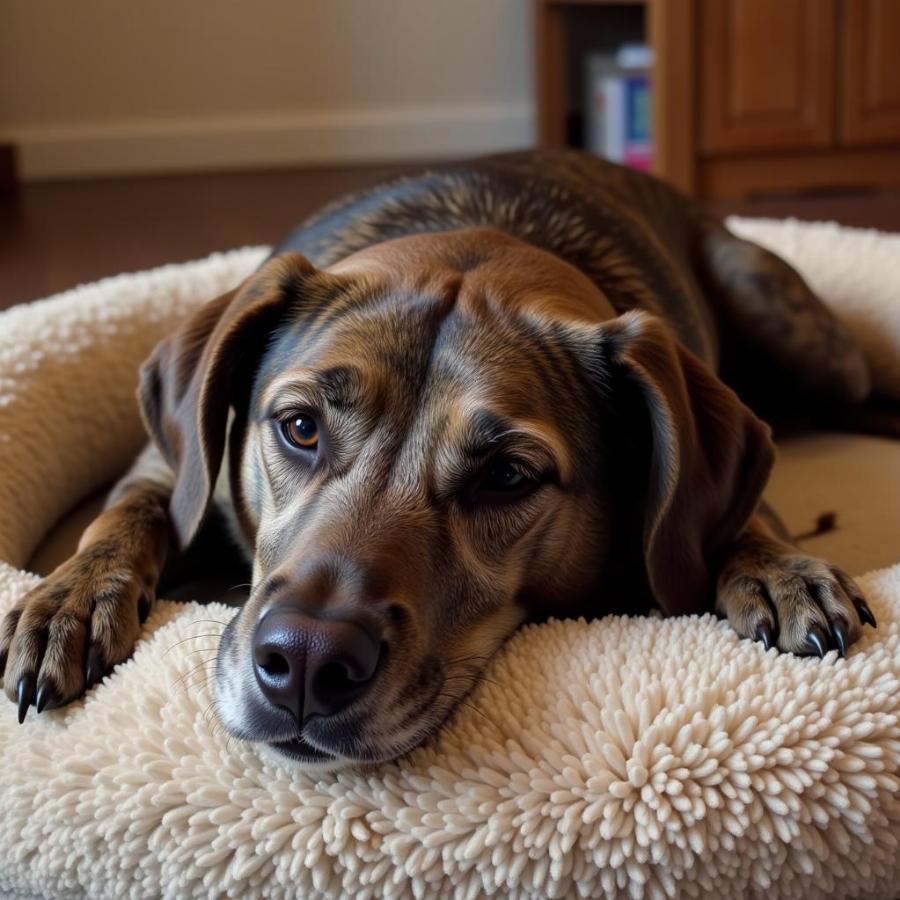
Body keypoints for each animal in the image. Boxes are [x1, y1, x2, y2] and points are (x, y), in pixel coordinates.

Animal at [0, 153, 876, 768]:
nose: (305, 662)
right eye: (299, 427)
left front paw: (775, 565)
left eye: (508, 476)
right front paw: (68, 601)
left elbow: (738, 519)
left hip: (792, 326)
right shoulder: (168, 463)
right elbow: (133, 510)